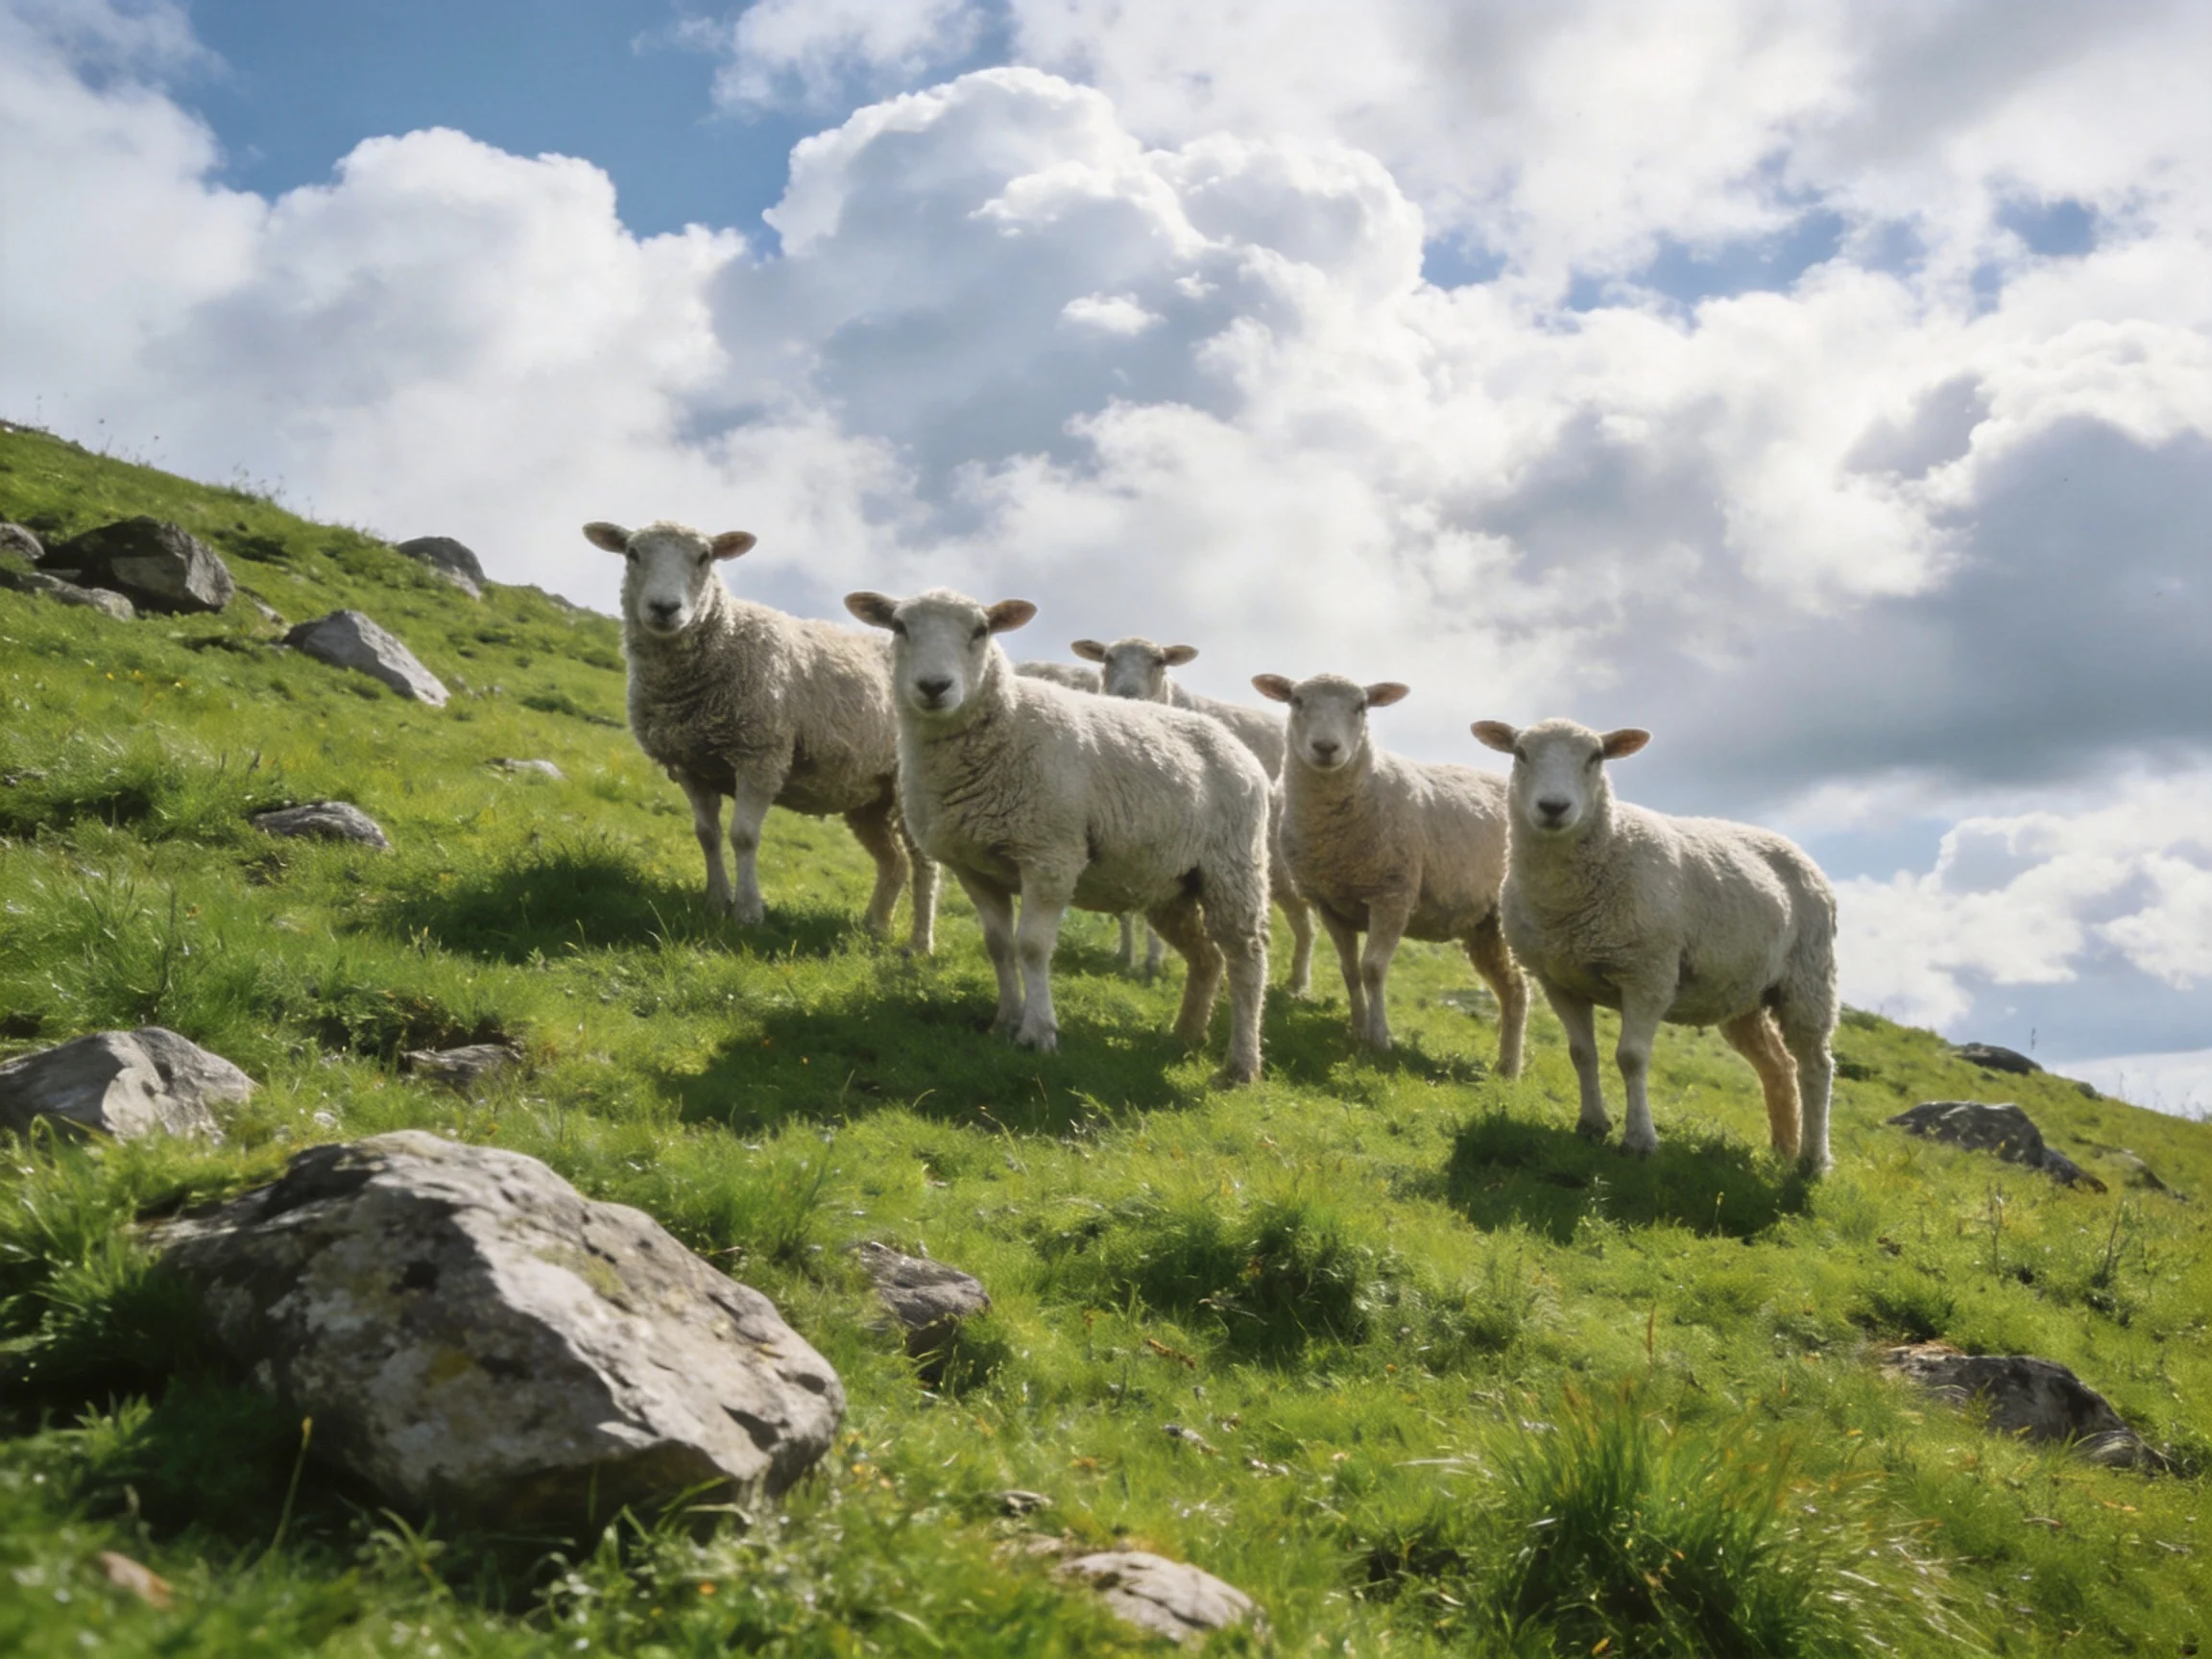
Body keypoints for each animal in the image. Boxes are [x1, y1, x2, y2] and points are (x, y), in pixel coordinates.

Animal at [584, 519, 936, 953]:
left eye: (704, 557)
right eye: (632, 553)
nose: (665, 608)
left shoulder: (761, 754)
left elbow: (744, 837)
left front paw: (749, 912)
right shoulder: (689, 765)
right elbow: (708, 835)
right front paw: (716, 902)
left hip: (911, 786)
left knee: (923, 863)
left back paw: (920, 943)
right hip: (868, 796)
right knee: (894, 861)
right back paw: (875, 926)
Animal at [845, 588, 1273, 1082]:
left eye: (981, 630)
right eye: (899, 627)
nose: (934, 687)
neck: (1006, 725)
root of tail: (1230, 739)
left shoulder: (1050, 855)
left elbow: (1031, 946)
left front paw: (1038, 1033)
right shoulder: (973, 866)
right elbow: (998, 946)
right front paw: (1005, 1021)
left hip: (1232, 868)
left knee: (1246, 958)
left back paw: (1241, 1065)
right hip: (1171, 885)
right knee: (1207, 956)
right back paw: (1185, 1034)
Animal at [1073, 635, 1317, 995]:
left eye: (1159, 662)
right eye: (1108, 658)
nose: (1126, 694)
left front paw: (1153, 962)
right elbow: (1127, 908)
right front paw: (1125, 955)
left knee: (1303, 924)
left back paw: (1298, 985)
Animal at [1252, 673, 1527, 1074]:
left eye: (1361, 706)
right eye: (1297, 701)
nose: (1326, 747)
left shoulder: (1393, 894)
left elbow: (1373, 968)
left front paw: (1379, 1038)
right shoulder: (1329, 902)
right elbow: (1350, 970)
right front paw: (1357, 1028)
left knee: (1517, 987)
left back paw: (1511, 1068)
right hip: (1484, 926)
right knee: (1512, 988)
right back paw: (1506, 1069)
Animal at [1471, 717, 1836, 1172]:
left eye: (1596, 757)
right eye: (1520, 753)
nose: (1554, 807)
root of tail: (1795, 850)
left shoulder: (1647, 974)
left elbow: (1631, 1057)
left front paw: (1640, 1140)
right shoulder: (1559, 980)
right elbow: (1581, 1053)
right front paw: (1592, 1124)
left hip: (1808, 978)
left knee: (1815, 1065)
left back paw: (1812, 1162)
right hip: (1742, 993)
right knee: (1778, 1065)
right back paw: (1782, 1150)